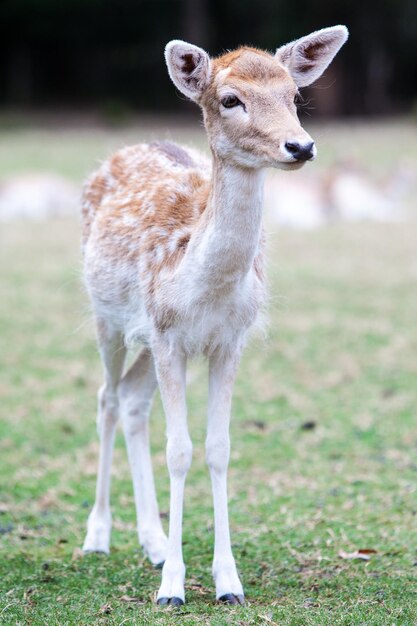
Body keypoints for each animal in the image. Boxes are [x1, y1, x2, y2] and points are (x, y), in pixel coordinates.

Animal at [80, 25, 348, 604]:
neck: (203, 290)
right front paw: (173, 588)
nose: (301, 145)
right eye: (230, 99)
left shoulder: (228, 341)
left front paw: (228, 582)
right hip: (108, 318)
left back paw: (154, 541)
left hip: (146, 340)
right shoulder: (168, 337)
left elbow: (218, 448)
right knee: (107, 397)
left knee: (132, 401)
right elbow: (179, 450)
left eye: (293, 96)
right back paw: (97, 535)